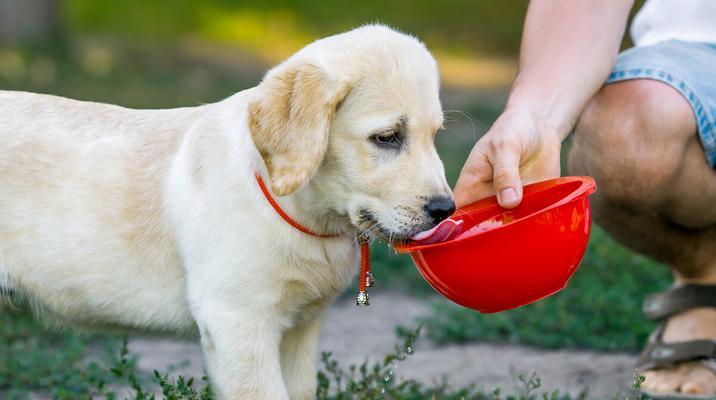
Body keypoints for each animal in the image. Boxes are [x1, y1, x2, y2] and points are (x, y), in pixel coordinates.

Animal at [0, 25, 454, 400]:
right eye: (387, 137)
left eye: (435, 136)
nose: (445, 210)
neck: (300, 210)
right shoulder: (238, 322)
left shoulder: (301, 328)